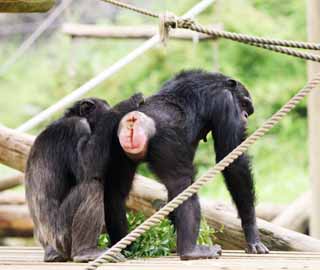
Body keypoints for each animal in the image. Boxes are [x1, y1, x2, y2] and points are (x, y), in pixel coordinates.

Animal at [25, 94, 144, 262]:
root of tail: (49, 251)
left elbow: (115, 192)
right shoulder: (76, 127)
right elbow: (87, 164)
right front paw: (125, 105)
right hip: (62, 238)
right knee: (91, 188)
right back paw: (86, 251)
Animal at [109, 69, 268, 260]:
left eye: (248, 110)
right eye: (243, 104)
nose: (244, 116)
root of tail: (134, 120)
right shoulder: (226, 102)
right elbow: (232, 160)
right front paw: (252, 233)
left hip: (116, 146)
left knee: (116, 193)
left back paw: (123, 249)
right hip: (167, 142)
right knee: (183, 184)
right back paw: (190, 250)